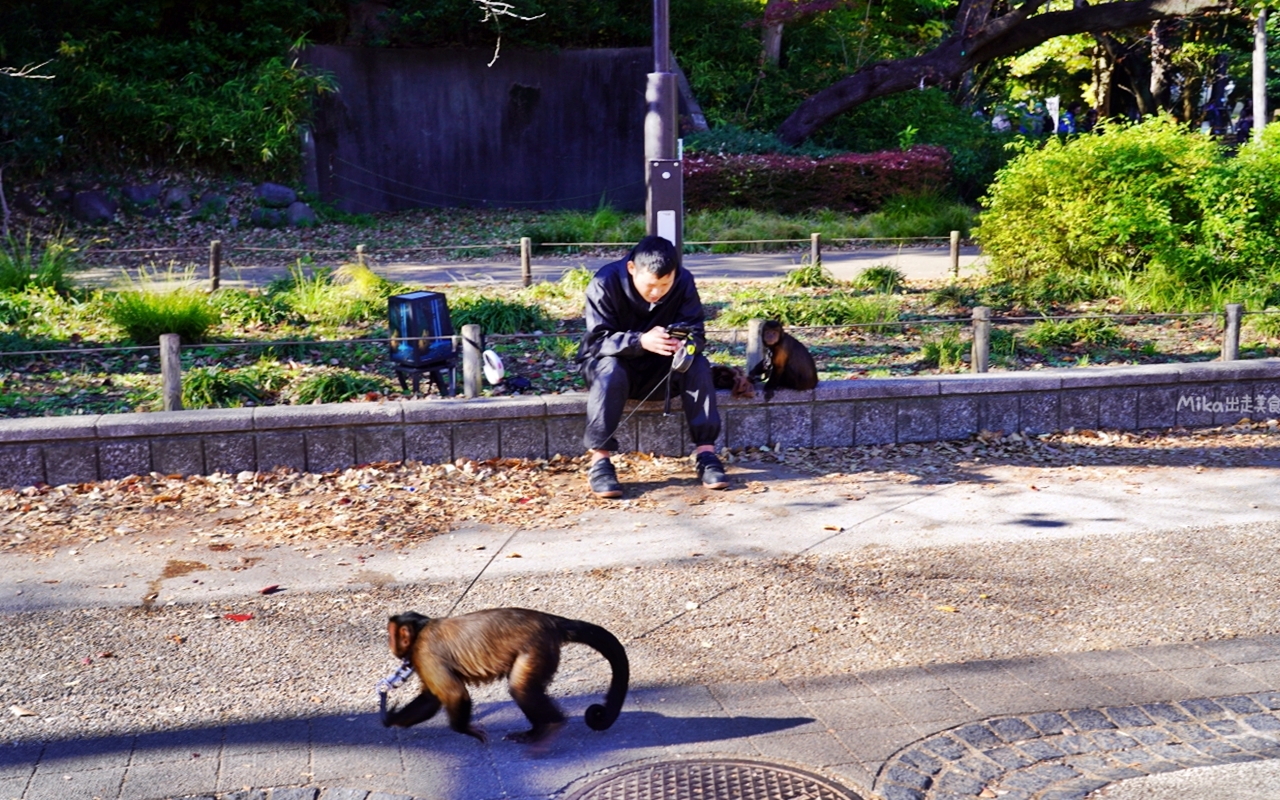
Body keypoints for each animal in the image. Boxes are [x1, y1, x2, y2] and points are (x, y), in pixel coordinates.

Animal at [378, 611, 629, 742]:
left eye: (391, 635)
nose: (388, 641)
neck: (421, 630)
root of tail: (549, 620)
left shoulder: (424, 652)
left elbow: (455, 694)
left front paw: (466, 730)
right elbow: (431, 700)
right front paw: (390, 719)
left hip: (537, 647)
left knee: (520, 689)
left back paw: (548, 728)